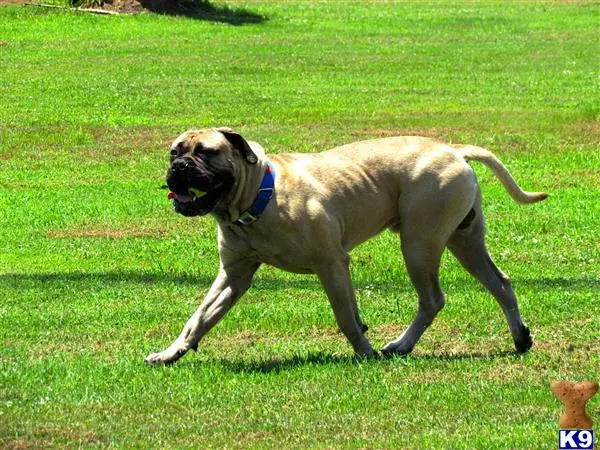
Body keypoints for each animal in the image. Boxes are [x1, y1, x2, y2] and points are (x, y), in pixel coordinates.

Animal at [145, 127, 548, 366]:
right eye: (174, 151)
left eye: (207, 152)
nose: (179, 167)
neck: (261, 194)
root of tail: (454, 150)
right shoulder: (234, 275)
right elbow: (199, 317)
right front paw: (172, 352)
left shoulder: (332, 264)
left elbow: (345, 317)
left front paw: (364, 352)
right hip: (464, 241)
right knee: (500, 283)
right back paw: (520, 337)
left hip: (419, 244)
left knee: (432, 299)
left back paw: (401, 345)